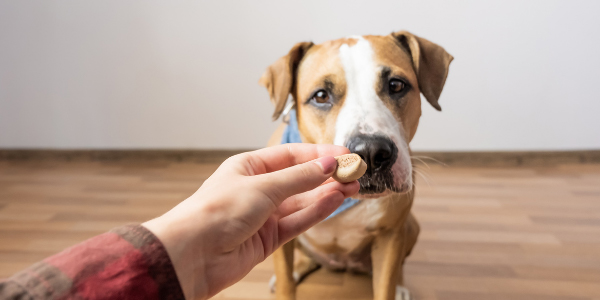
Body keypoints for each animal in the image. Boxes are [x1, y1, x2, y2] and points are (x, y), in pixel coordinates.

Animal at [260, 31, 452, 300]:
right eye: (321, 96)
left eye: (396, 85)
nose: (371, 152)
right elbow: (286, 283)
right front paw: (285, 281)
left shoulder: (390, 236)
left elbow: (386, 285)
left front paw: (394, 287)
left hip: (410, 227)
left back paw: (401, 287)